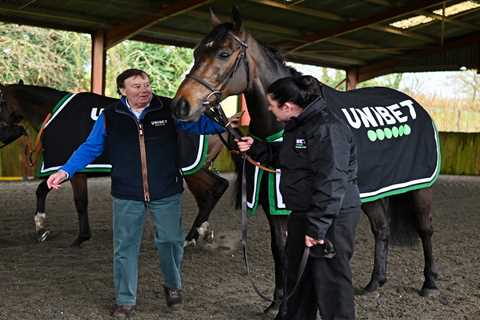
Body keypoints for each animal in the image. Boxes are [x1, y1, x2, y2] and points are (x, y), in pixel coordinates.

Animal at [0, 82, 234, 248]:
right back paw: (201, 231)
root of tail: (213, 117)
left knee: (217, 188)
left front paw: (79, 237)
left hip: (191, 169)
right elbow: (42, 189)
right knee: (208, 193)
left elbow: (79, 202)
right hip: (195, 169)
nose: (5, 133)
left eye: (0, 102)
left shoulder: (75, 171)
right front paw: (41, 227)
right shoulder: (69, 167)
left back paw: (191, 236)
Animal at [171, 7, 440, 312]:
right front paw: (277, 301)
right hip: (372, 191)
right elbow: (280, 249)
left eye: (224, 53)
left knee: (425, 228)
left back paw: (429, 283)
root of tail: (416, 106)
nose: (181, 105)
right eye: (196, 52)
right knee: (381, 228)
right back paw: (374, 283)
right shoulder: (274, 204)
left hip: (420, 189)